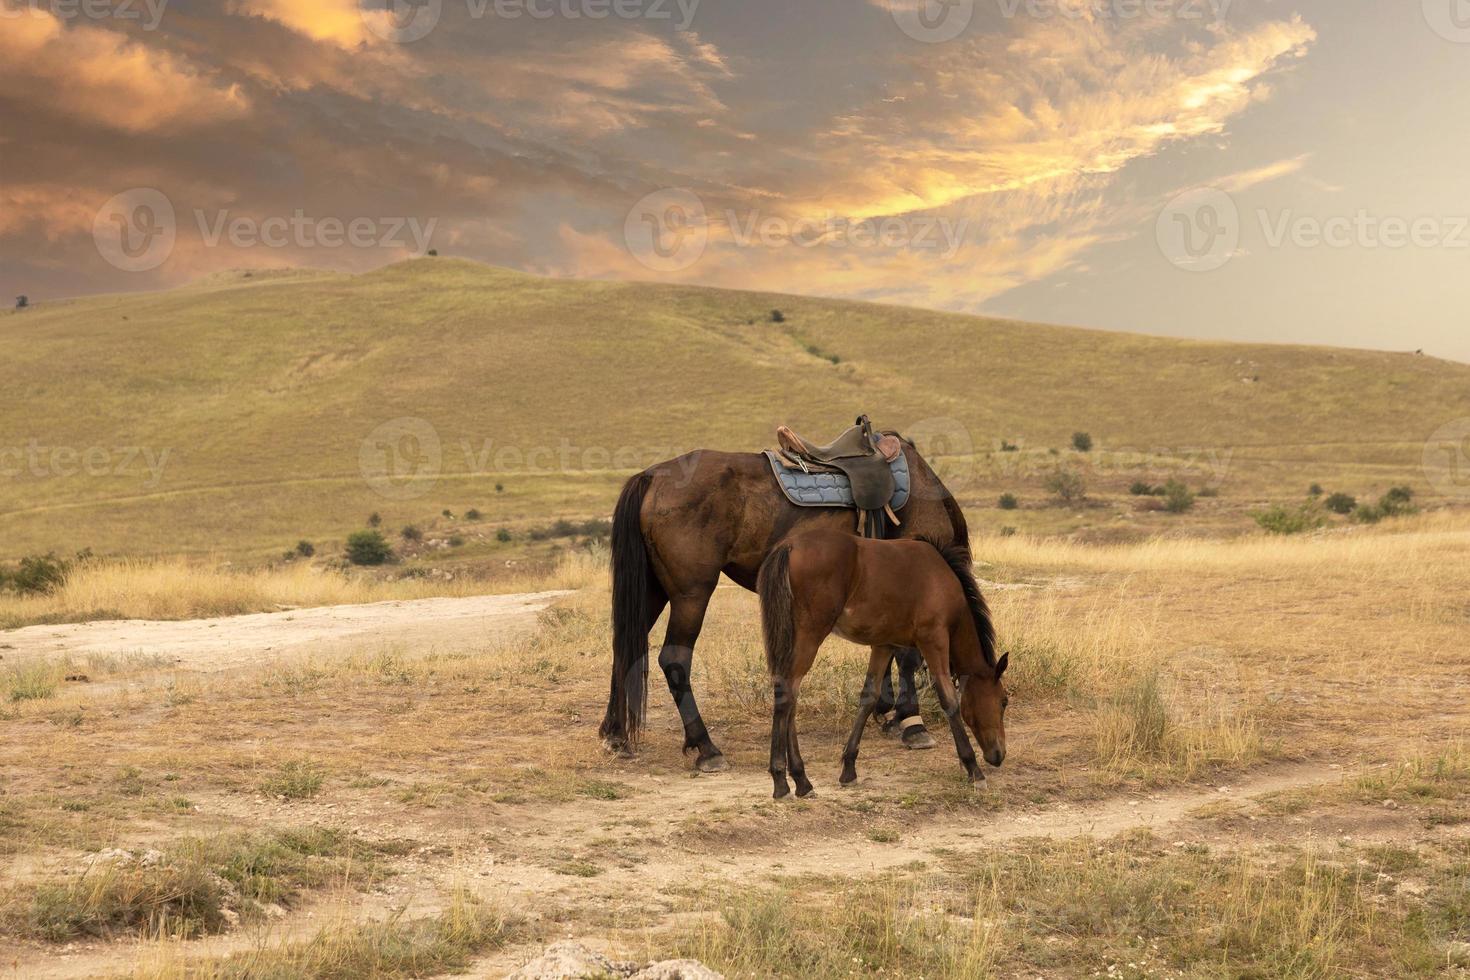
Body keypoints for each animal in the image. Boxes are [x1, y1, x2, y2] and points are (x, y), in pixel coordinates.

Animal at [596, 431, 964, 769]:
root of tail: (652, 476)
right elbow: (908, 656)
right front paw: (912, 722)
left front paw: (888, 711)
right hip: (692, 595)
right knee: (674, 659)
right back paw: (706, 748)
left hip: (653, 591)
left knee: (625, 647)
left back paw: (615, 734)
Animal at [758, 531, 1011, 799]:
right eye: (1004, 701)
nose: (998, 755)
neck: (942, 578)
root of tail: (789, 545)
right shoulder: (934, 640)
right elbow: (949, 701)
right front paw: (973, 769)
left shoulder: (884, 645)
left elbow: (869, 697)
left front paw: (849, 769)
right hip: (811, 634)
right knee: (787, 694)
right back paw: (781, 781)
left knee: (790, 697)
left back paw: (801, 780)